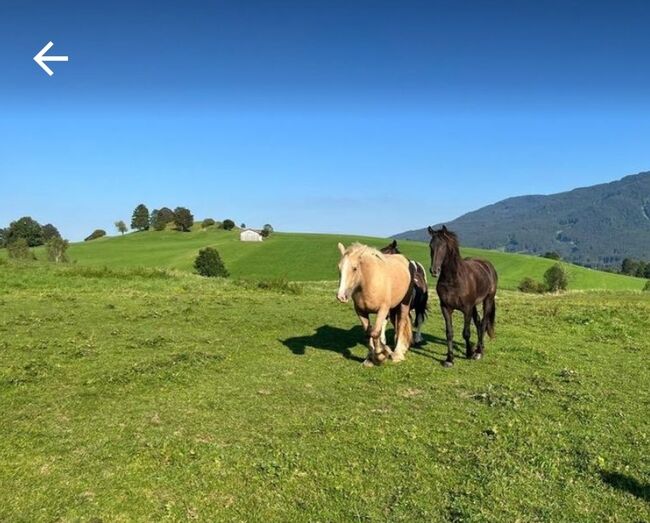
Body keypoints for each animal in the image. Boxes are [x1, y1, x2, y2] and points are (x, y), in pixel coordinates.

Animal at [426, 226, 496, 368]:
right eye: (431, 246)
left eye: (443, 246)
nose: (434, 270)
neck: (453, 280)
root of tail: (487, 265)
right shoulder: (445, 308)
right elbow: (449, 333)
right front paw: (449, 359)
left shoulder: (467, 309)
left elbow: (466, 333)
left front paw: (469, 353)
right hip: (474, 305)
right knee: (479, 323)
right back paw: (480, 348)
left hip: (488, 300)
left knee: (484, 323)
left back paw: (478, 352)